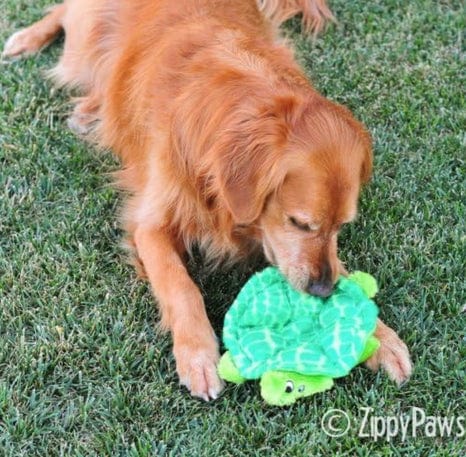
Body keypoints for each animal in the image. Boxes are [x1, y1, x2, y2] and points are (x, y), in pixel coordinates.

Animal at [3, 0, 412, 400]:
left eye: (341, 226)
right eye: (299, 222)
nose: (322, 291)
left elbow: (343, 274)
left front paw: (381, 338)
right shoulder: (150, 226)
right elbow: (180, 286)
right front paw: (198, 356)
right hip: (83, 39)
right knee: (66, 15)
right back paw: (29, 42)